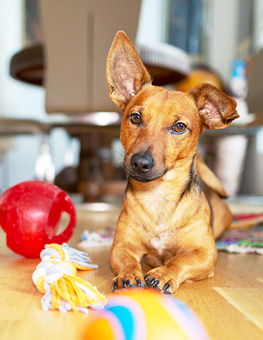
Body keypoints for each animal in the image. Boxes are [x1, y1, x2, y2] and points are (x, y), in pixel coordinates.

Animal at [106, 30, 240, 294]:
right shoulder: (122, 245)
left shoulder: (206, 253)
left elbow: (180, 260)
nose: (140, 163)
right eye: (135, 117)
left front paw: (164, 273)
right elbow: (126, 260)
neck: (159, 196)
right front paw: (128, 275)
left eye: (179, 127)